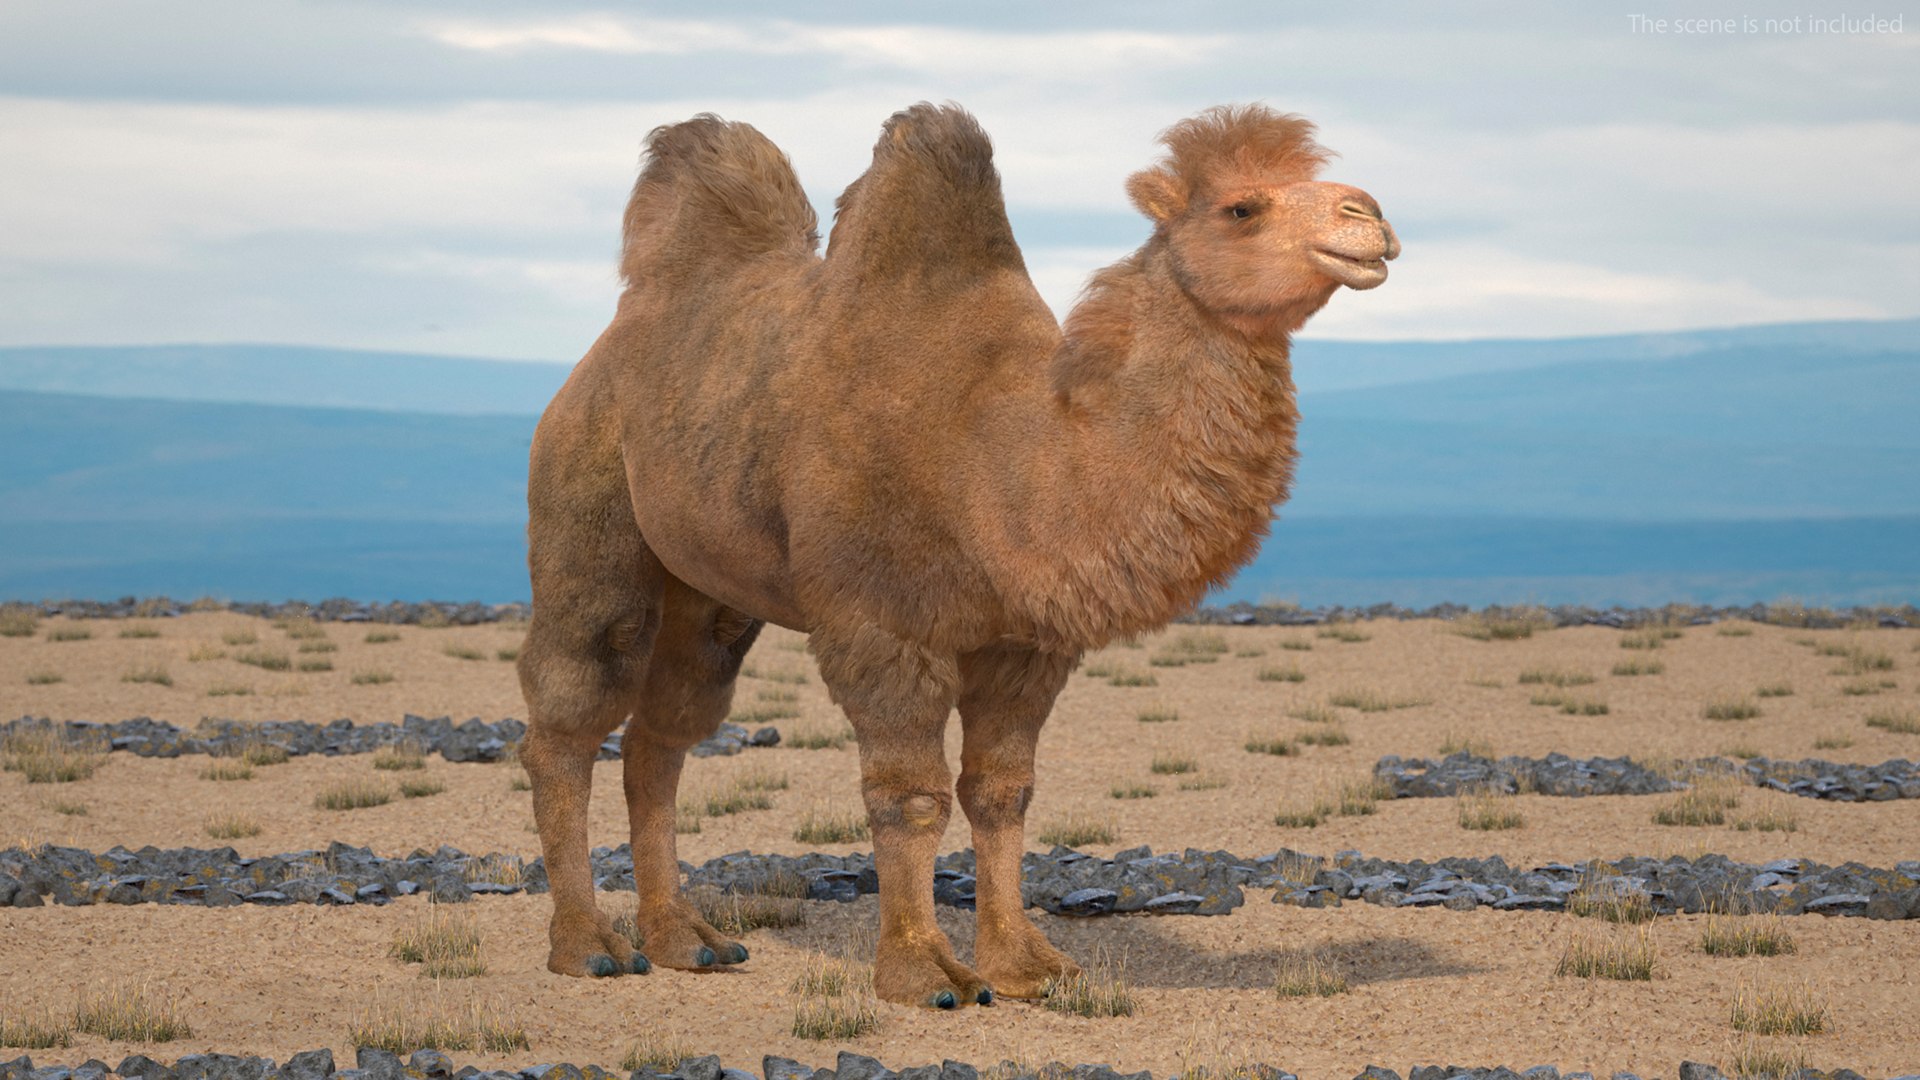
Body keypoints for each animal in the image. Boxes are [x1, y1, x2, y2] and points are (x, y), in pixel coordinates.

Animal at [516, 102, 1398, 1008]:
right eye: (1241, 208)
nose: (1367, 216)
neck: (1001, 456)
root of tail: (611, 341)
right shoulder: (884, 625)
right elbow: (911, 798)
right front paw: (924, 972)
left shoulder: (1025, 644)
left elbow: (1002, 793)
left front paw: (1027, 966)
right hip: (587, 498)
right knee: (571, 712)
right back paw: (587, 945)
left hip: (707, 588)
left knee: (664, 733)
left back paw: (687, 940)